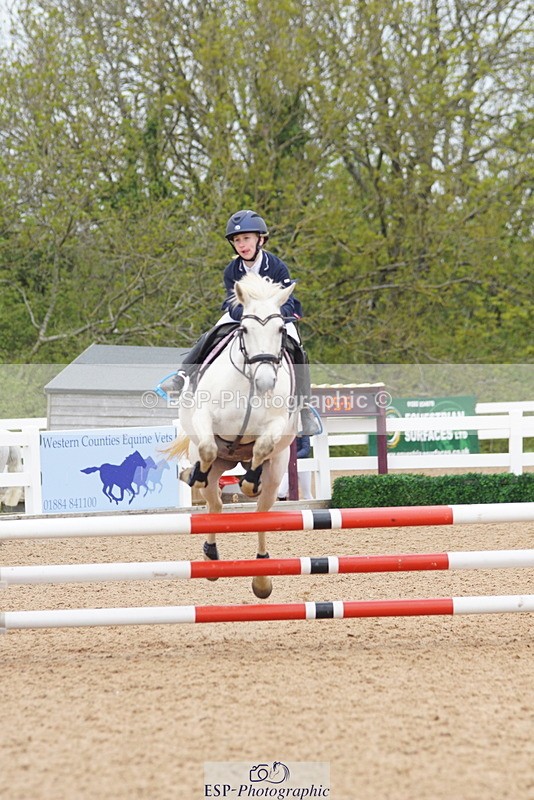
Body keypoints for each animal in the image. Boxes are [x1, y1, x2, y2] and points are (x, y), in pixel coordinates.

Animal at [166, 273, 298, 599]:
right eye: (245, 329)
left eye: (280, 329)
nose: (266, 382)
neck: (249, 381)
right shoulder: (204, 417)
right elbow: (208, 449)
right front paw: (196, 475)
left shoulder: (277, 425)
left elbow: (262, 447)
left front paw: (249, 482)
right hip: (219, 469)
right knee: (215, 504)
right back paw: (211, 557)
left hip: (276, 473)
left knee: (261, 512)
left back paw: (261, 577)